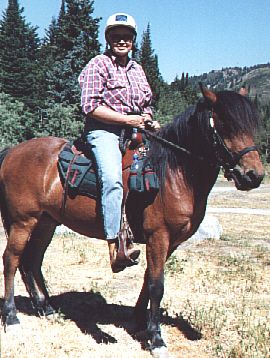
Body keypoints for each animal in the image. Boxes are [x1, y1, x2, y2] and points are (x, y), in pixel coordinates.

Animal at [0, 87, 264, 358]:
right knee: (11, 259)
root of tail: (12, 152)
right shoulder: (159, 236)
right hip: (23, 221)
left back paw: (46, 308)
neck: (172, 174)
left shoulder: (170, 242)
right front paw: (156, 339)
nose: (254, 175)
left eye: (251, 125)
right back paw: (11, 317)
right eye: (224, 125)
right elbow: (157, 285)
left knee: (32, 260)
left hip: (46, 223)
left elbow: (148, 281)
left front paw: (139, 324)